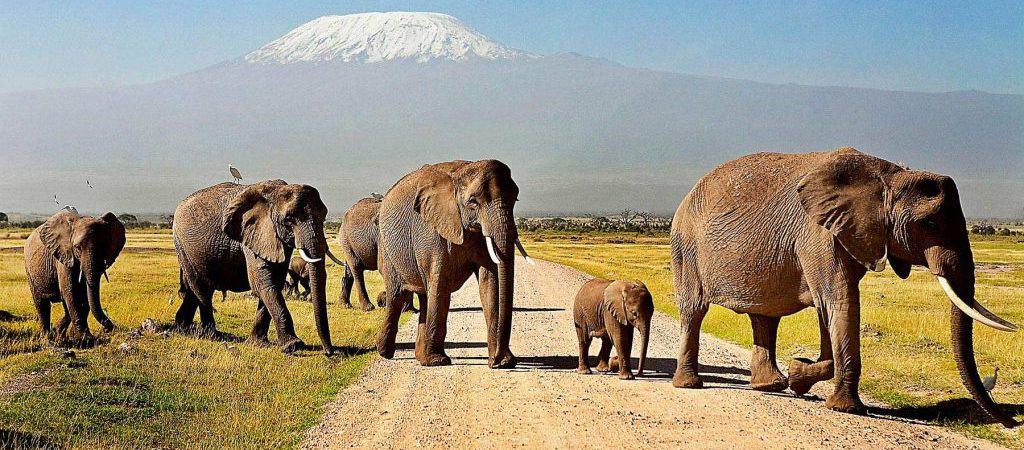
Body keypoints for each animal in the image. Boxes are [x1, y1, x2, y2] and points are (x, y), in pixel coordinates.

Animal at [23, 210, 126, 345]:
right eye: (77, 247)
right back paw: (47, 339)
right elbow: (71, 293)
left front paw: (73, 336)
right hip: (29, 269)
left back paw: (59, 335)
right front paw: (86, 340)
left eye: (104, 247)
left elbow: (84, 296)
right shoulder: (64, 256)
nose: (107, 329)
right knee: (41, 303)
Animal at [172, 180, 343, 355]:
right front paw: (293, 345)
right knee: (201, 288)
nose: (329, 352)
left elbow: (274, 283)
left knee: (195, 290)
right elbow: (263, 284)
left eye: (324, 216)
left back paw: (183, 328)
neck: (275, 194)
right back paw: (212, 335)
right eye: (289, 219)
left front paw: (258, 343)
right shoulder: (252, 235)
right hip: (183, 246)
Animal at [376, 159, 531, 368]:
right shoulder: (432, 231)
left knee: (425, 295)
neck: (460, 174)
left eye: (515, 199)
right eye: (473, 201)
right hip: (388, 250)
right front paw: (438, 361)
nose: (496, 361)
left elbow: (490, 282)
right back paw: (385, 353)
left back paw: (420, 358)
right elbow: (440, 282)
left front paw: (504, 362)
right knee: (396, 295)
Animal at [669, 147, 1019, 427]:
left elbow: (831, 309)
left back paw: (770, 387)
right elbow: (840, 302)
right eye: (930, 224)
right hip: (686, 247)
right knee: (694, 311)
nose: (1011, 423)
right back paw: (689, 385)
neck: (890, 175)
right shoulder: (818, 235)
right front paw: (843, 406)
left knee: (765, 318)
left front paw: (799, 376)